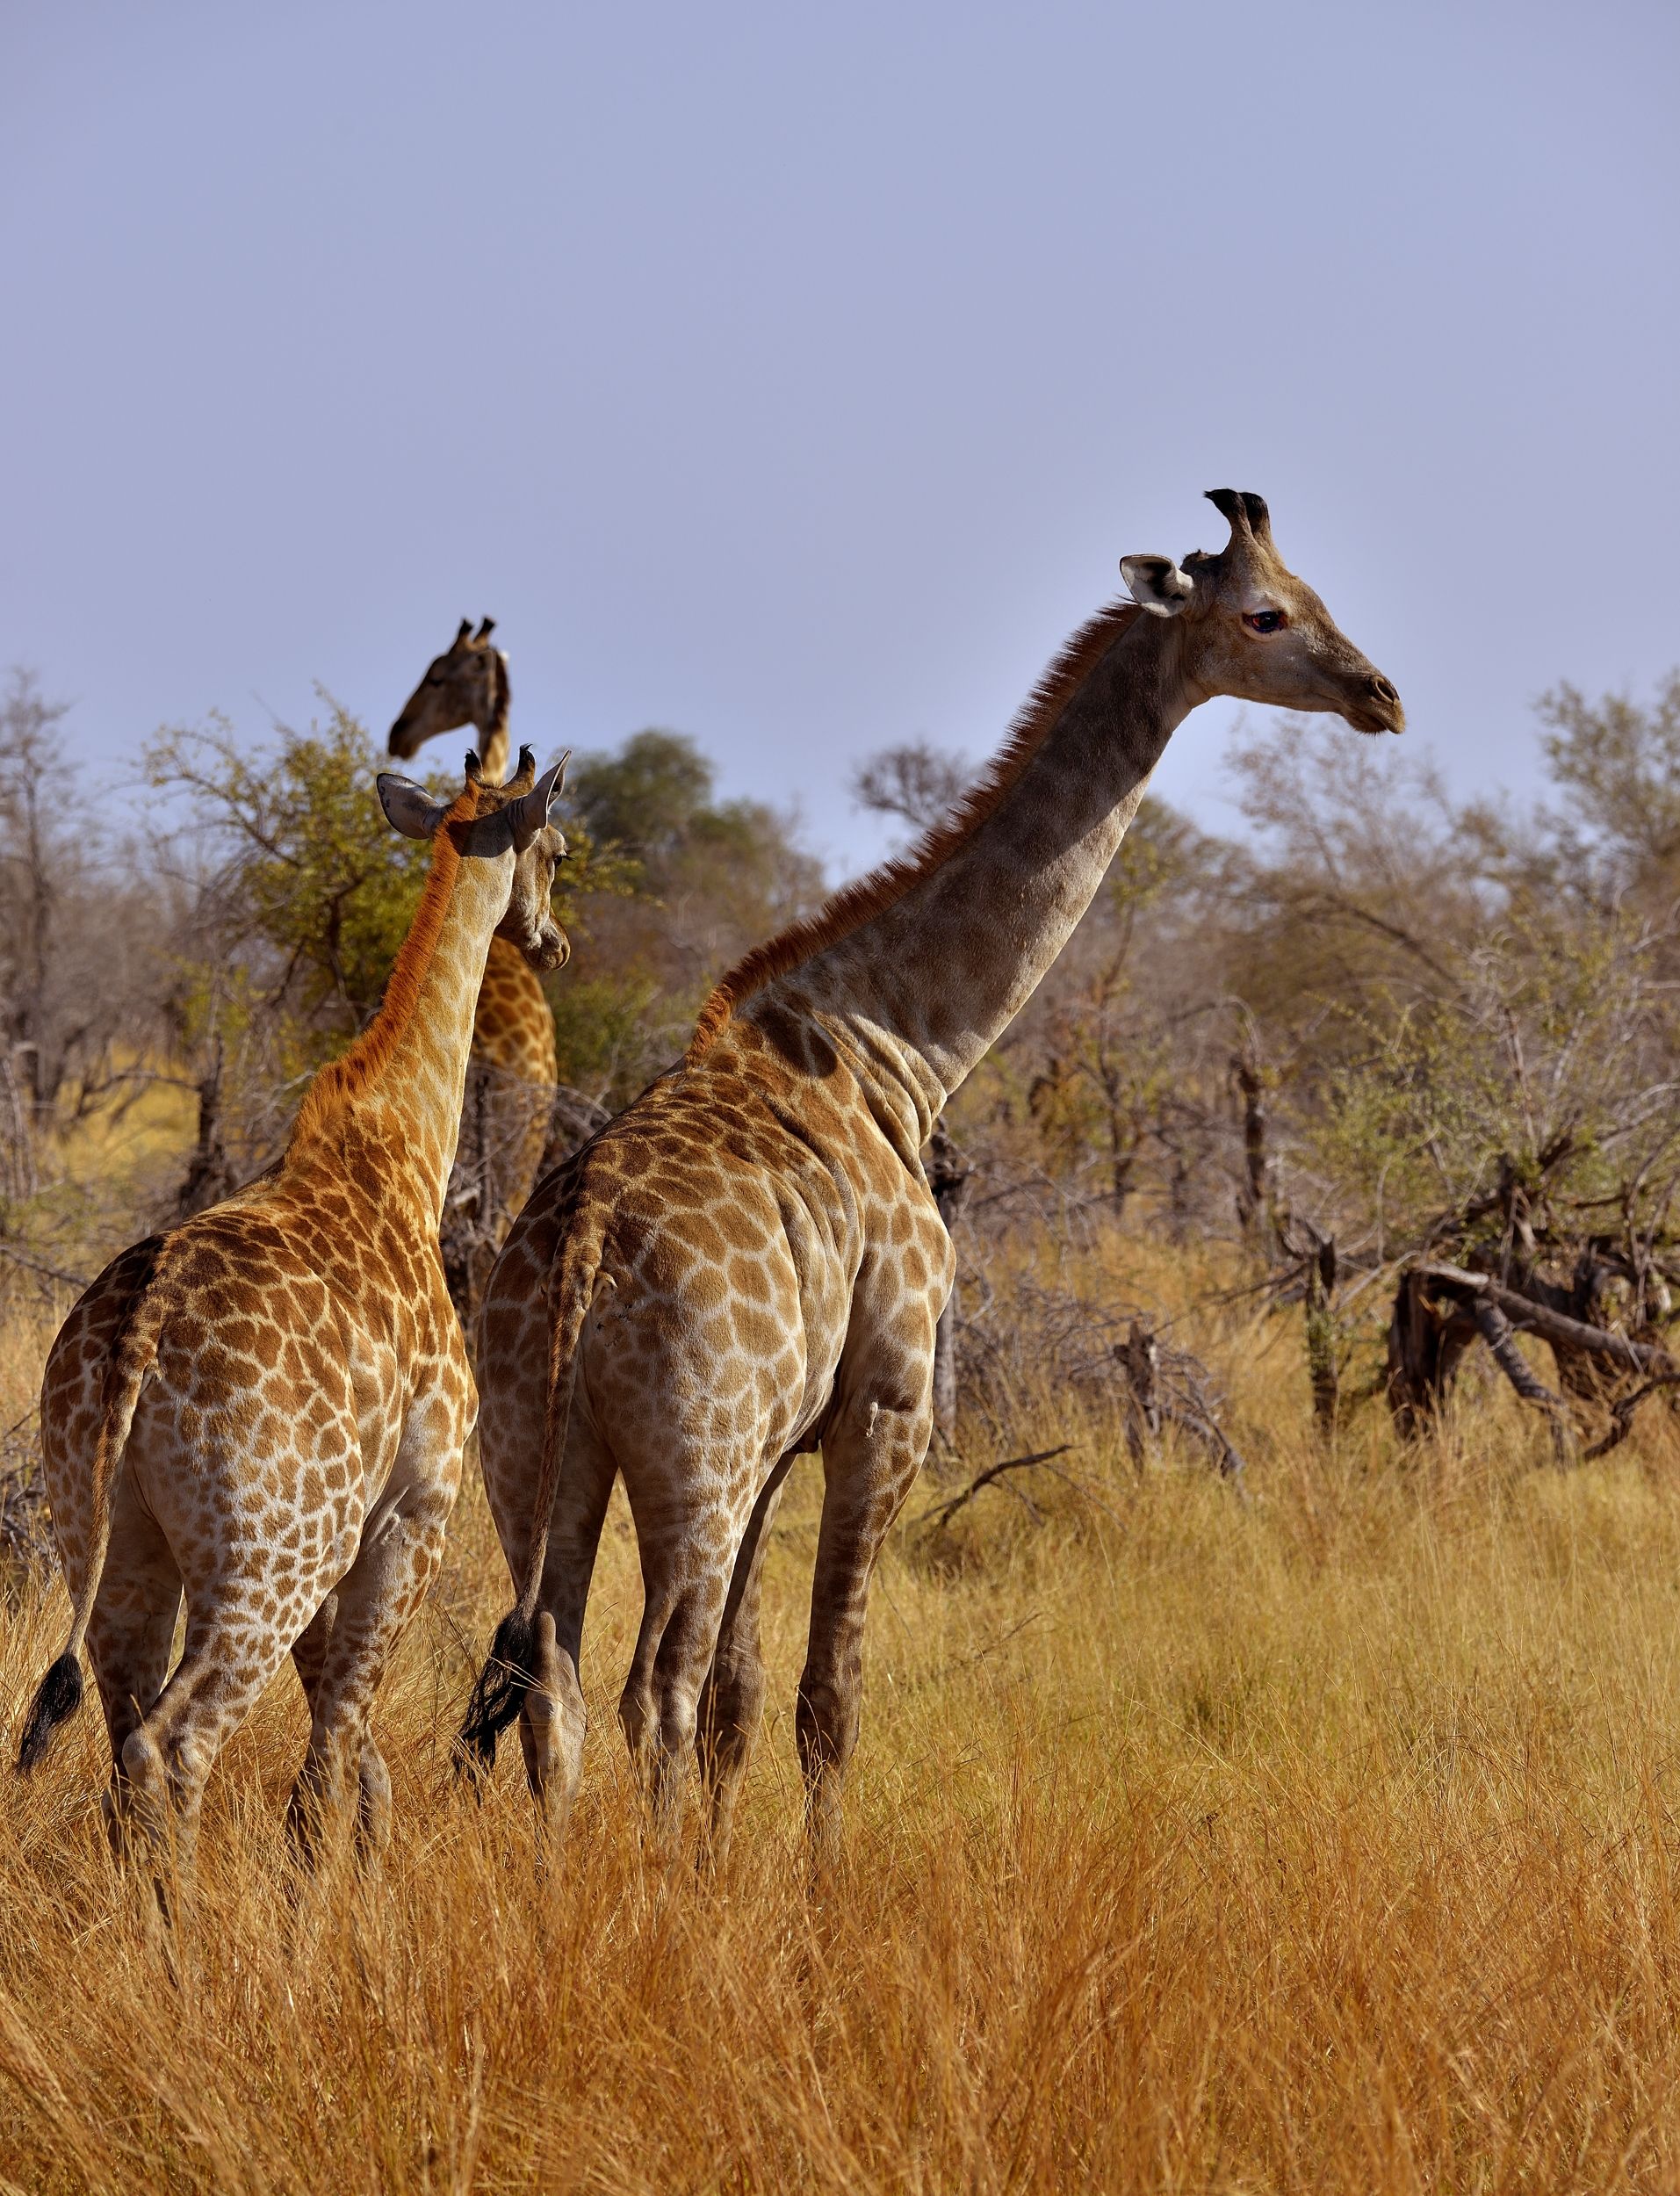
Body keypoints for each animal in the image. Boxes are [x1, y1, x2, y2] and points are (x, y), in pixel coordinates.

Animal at [15, 748, 570, 1904]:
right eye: (556, 848)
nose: (552, 939)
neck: (407, 1149)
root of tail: (133, 1336)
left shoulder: (348, 1531)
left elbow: (352, 1758)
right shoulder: (412, 1513)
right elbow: (336, 1753)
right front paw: (326, 1916)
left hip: (112, 1537)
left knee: (120, 1737)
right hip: (268, 1555)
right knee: (173, 1744)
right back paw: (189, 1942)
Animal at [458, 492, 1404, 1862]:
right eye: (1265, 614)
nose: (1380, 694)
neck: (896, 1049)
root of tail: (577, 1251)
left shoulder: (788, 1437)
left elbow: (748, 1691)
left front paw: (726, 1872)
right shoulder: (890, 1403)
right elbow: (823, 1694)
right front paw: (811, 1889)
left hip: (541, 1450)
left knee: (559, 1676)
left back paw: (559, 1892)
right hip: (693, 1456)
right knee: (650, 1684)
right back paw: (644, 1893)